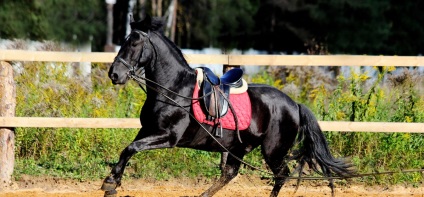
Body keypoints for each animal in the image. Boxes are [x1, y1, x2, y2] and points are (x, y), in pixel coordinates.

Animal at [102, 15, 352, 197]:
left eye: (134, 43)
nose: (114, 74)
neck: (173, 89)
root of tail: (294, 104)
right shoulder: (148, 130)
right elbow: (128, 148)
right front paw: (113, 182)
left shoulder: (168, 137)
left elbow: (131, 148)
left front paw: (110, 182)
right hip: (238, 147)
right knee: (231, 173)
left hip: (273, 150)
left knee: (281, 175)